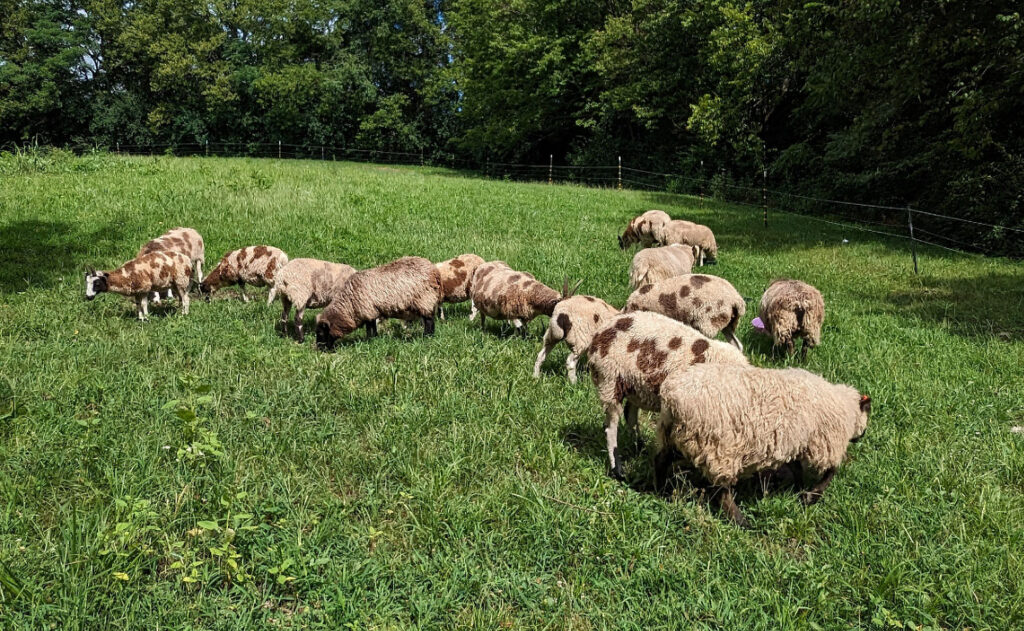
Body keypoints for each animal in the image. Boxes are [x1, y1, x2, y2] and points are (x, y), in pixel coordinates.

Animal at [587, 311, 749, 480]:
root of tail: (605, 328)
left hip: (634, 386)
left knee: (630, 414)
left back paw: (639, 447)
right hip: (610, 381)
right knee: (611, 428)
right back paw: (617, 469)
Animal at [655, 364, 870, 527]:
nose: (862, 436)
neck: (844, 406)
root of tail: (671, 397)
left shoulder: (796, 442)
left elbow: (797, 469)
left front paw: (800, 490)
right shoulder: (825, 443)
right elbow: (831, 471)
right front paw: (811, 496)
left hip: (677, 436)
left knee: (661, 460)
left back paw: (660, 489)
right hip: (718, 447)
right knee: (721, 491)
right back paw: (741, 521)